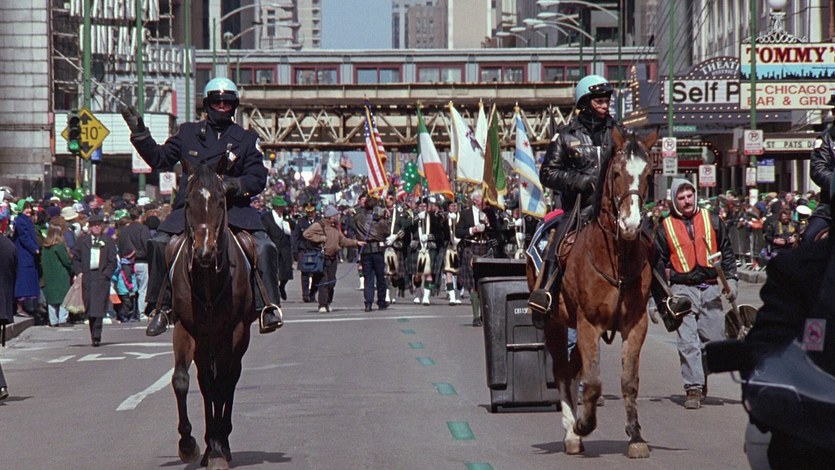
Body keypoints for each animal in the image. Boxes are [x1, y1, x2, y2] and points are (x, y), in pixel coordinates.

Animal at [169, 158, 259, 470]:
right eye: (187, 202)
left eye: (222, 201)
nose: (204, 252)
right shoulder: (185, 328)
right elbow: (183, 380)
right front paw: (189, 444)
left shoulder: (234, 331)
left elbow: (222, 384)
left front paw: (219, 449)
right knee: (207, 381)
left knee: (229, 378)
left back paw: (223, 443)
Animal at [530, 127, 658, 458]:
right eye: (616, 173)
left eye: (649, 174)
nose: (631, 224)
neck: (615, 259)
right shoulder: (588, 323)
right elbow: (593, 381)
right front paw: (582, 425)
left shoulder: (635, 324)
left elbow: (628, 381)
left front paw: (636, 436)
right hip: (554, 323)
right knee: (563, 371)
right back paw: (571, 433)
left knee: (574, 368)